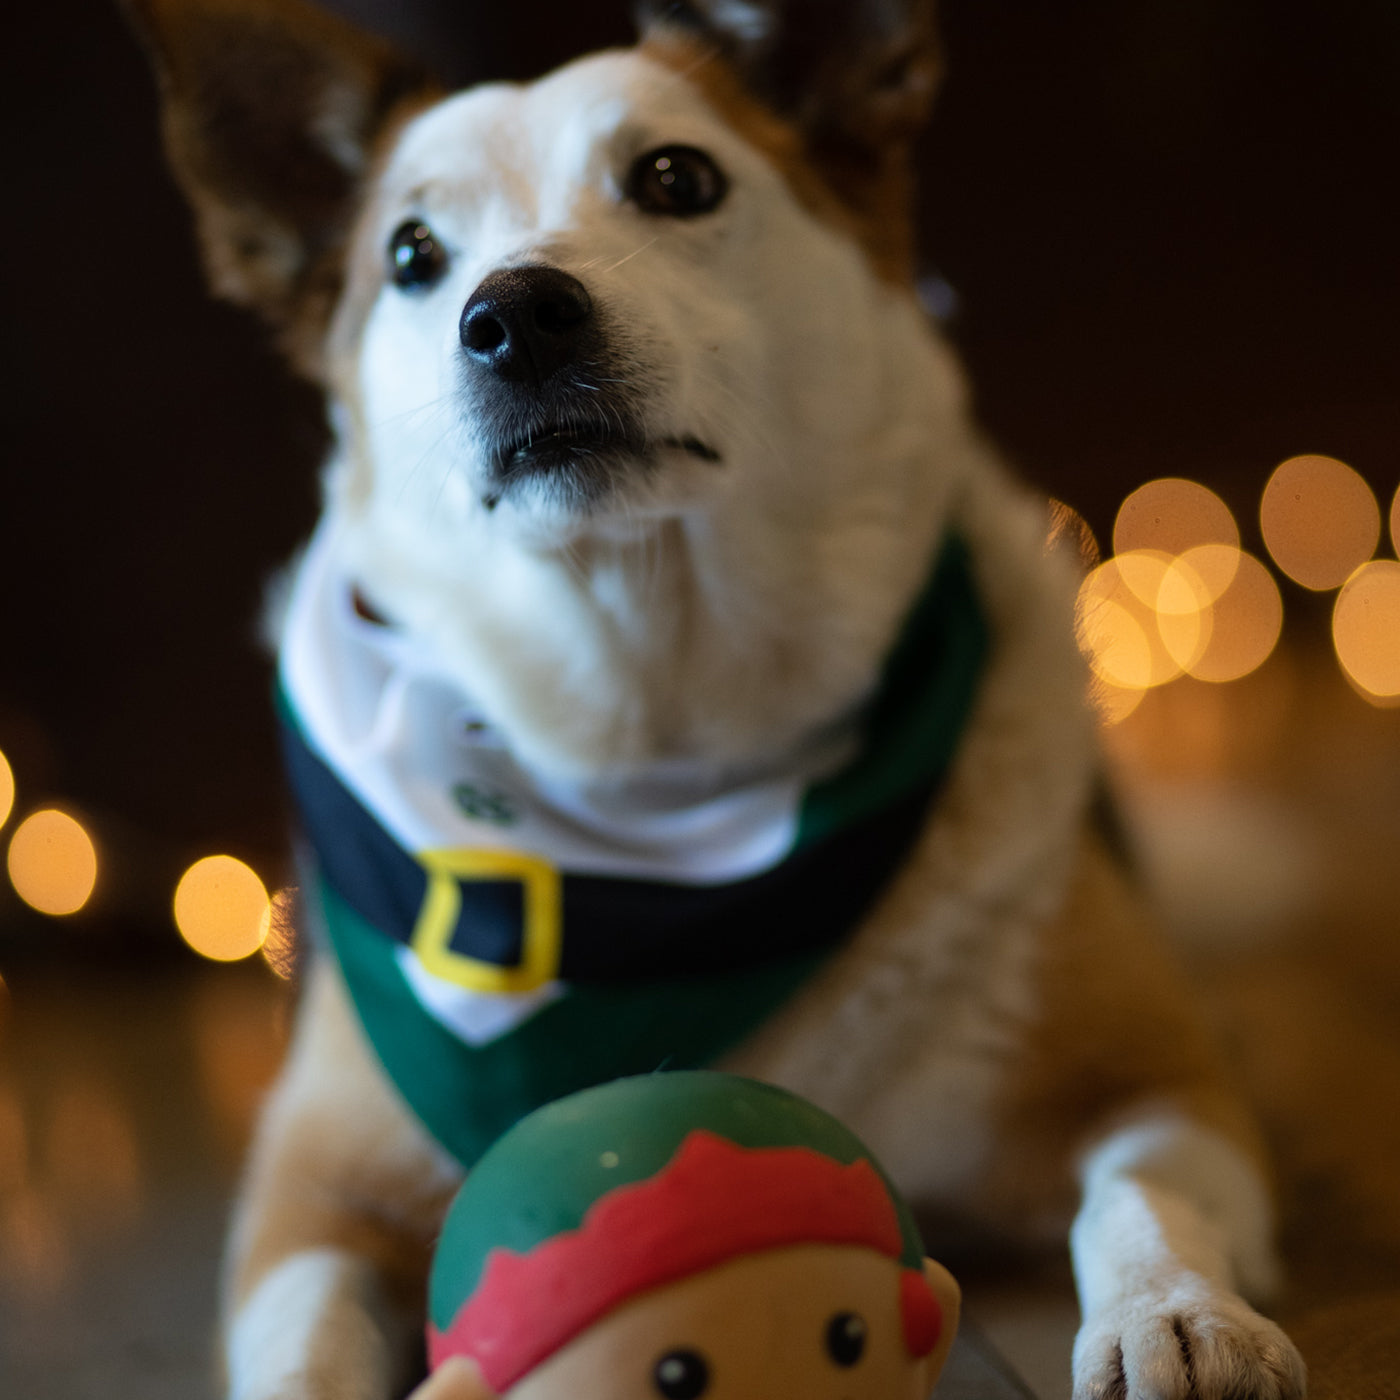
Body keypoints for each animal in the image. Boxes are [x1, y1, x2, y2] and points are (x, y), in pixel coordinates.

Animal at [126, 2, 1304, 1400]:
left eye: (676, 179)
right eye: (411, 254)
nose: (512, 315)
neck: (664, 745)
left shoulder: (1162, 1085)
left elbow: (1139, 1194)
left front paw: (1170, 1308)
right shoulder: (306, 1202)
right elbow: (304, 1336)